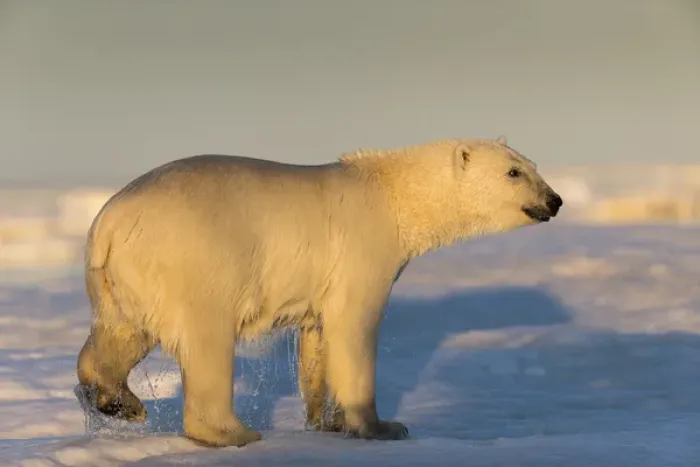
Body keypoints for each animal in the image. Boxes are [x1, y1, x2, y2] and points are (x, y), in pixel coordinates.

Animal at [75, 135, 563, 448]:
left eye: (534, 167)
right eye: (514, 172)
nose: (555, 200)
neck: (394, 195)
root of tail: (109, 221)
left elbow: (318, 340)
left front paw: (325, 421)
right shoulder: (362, 249)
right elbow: (354, 324)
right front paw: (382, 426)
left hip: (121, 276)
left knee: (123, 333)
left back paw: (117, 402)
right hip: (196, 257)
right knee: (208, 338)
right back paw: (233, 432)